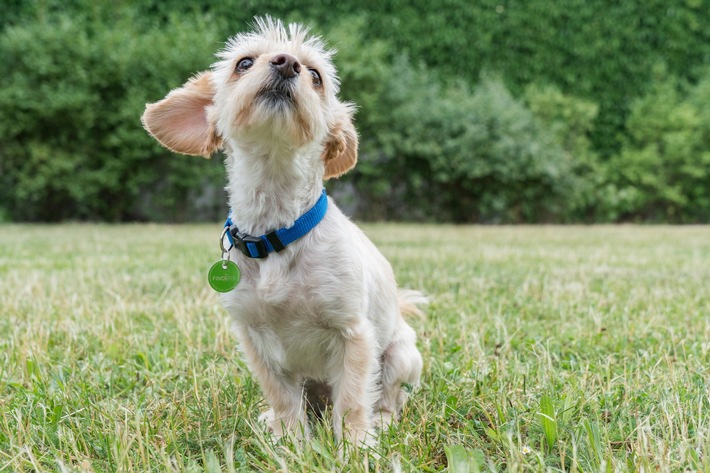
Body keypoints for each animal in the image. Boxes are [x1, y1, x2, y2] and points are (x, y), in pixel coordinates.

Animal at [142, 16, 426, 446]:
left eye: (316, 76)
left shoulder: (354, 335)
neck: (276, 234)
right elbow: (282, 397)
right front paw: (291, 442)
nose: (287, 63)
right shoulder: (254, 339)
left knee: (388, 395)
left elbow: (353, 399)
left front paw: (357, 446)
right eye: (243, 63)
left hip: (402, 354)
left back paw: (384, 419)